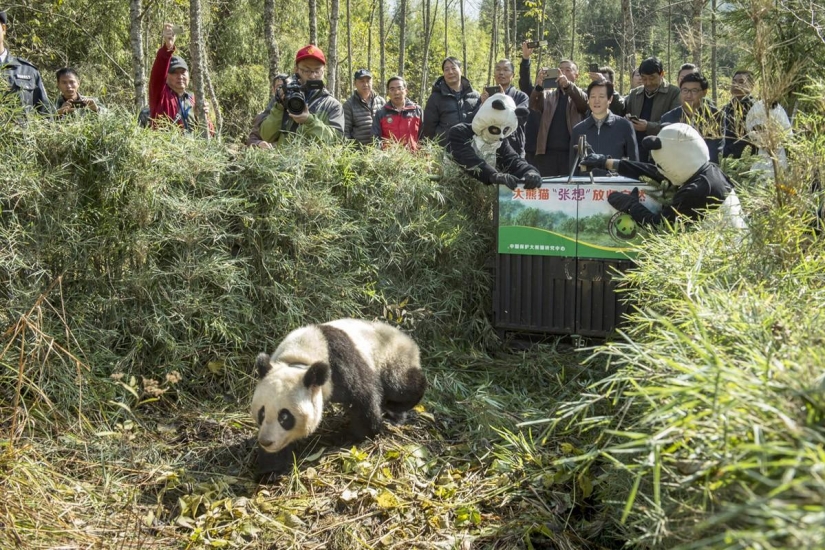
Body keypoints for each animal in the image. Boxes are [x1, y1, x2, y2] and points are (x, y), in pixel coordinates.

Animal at [251, 318, 427, 459]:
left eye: (285, 417)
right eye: (262, 413)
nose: (266, 441)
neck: (300, 360)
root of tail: (408, 340)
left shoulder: (339, 362)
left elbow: (363, 396)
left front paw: (352, 435)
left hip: (391, 357)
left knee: (401, 386)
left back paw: (393, 410)